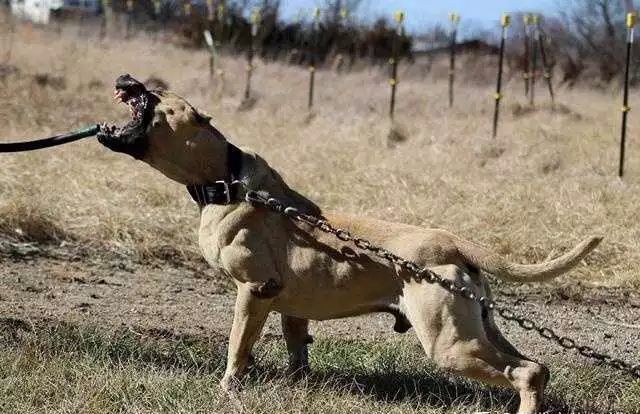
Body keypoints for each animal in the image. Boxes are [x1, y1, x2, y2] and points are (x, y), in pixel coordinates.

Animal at [97, 75, 604, 414]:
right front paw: (295, 385)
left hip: (450, 345)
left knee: (526, 370)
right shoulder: (287, 304)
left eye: (155, 91)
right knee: (535, 366)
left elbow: (237, 347)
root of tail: (452, 243)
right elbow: (296, 347)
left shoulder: (254, 291)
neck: (225, 179)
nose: (124, 78)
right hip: (479, 328)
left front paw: (228, 388)